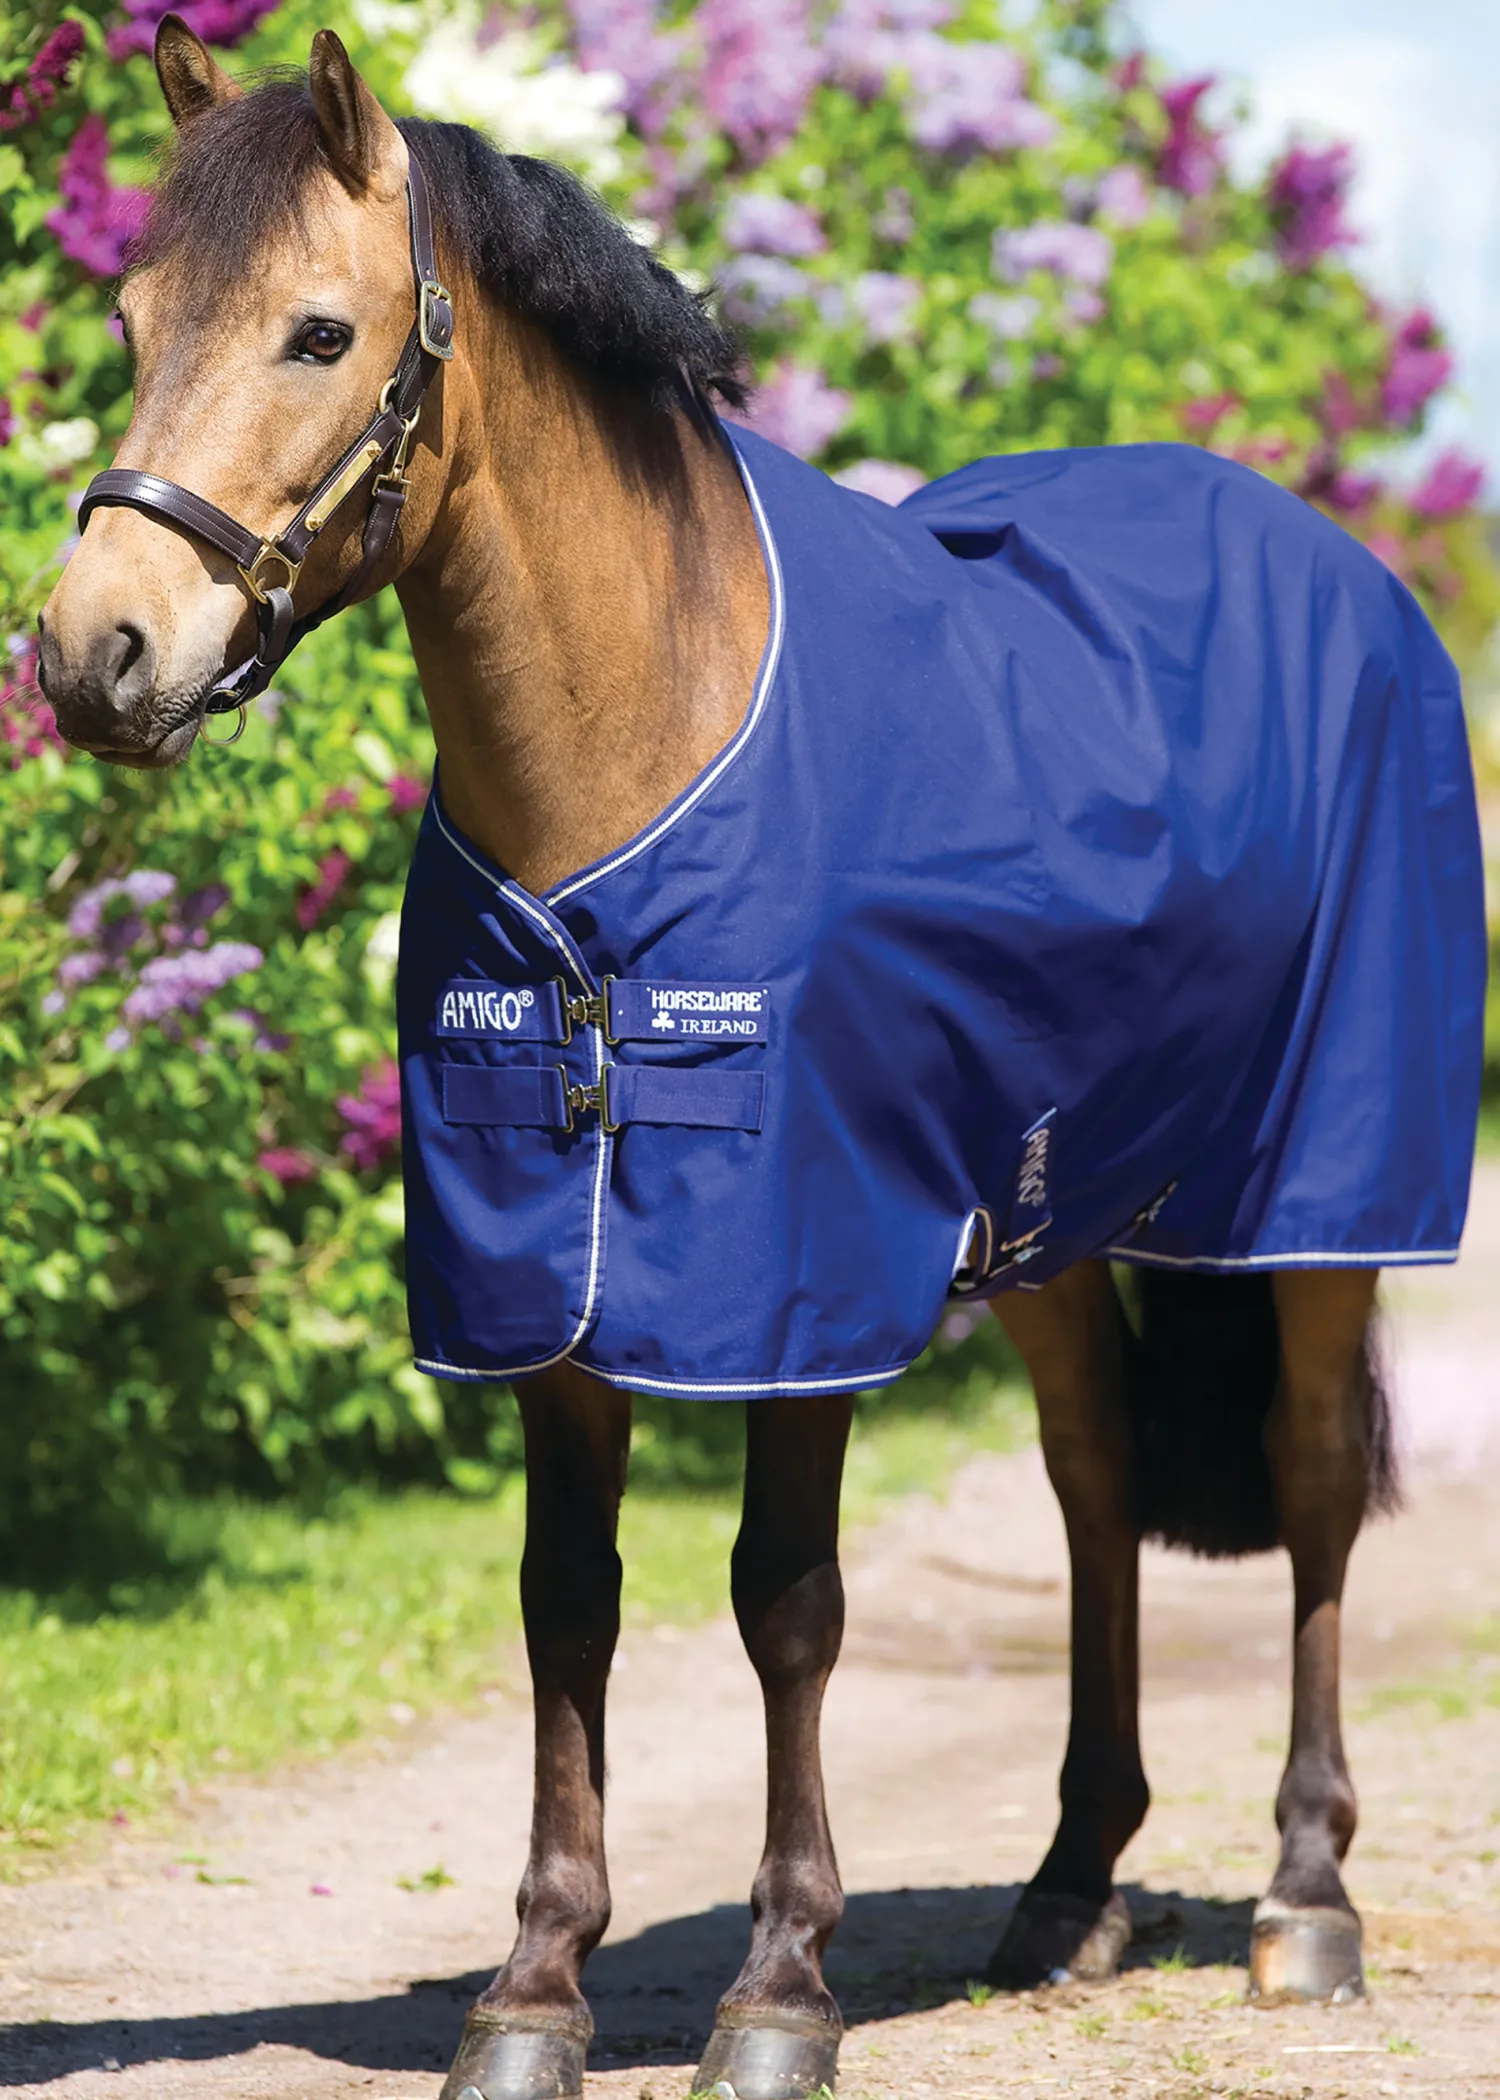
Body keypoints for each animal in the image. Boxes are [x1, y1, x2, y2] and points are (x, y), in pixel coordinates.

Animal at [37, 22, 1484, 2100]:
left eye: (318, 332)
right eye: (132, 319)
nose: (97, 654)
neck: (643, 744)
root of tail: (1344, 572)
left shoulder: (800, 1274)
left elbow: (786, 1604)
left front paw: (783, 1985)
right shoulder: (547, 1280)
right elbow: (567, 1607)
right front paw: (533, 1987)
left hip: (1316, 1199)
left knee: (1302, 1481)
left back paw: (1306, 1898)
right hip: (1044, 1218)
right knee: (1097, 1483)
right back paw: (1068, 1887)